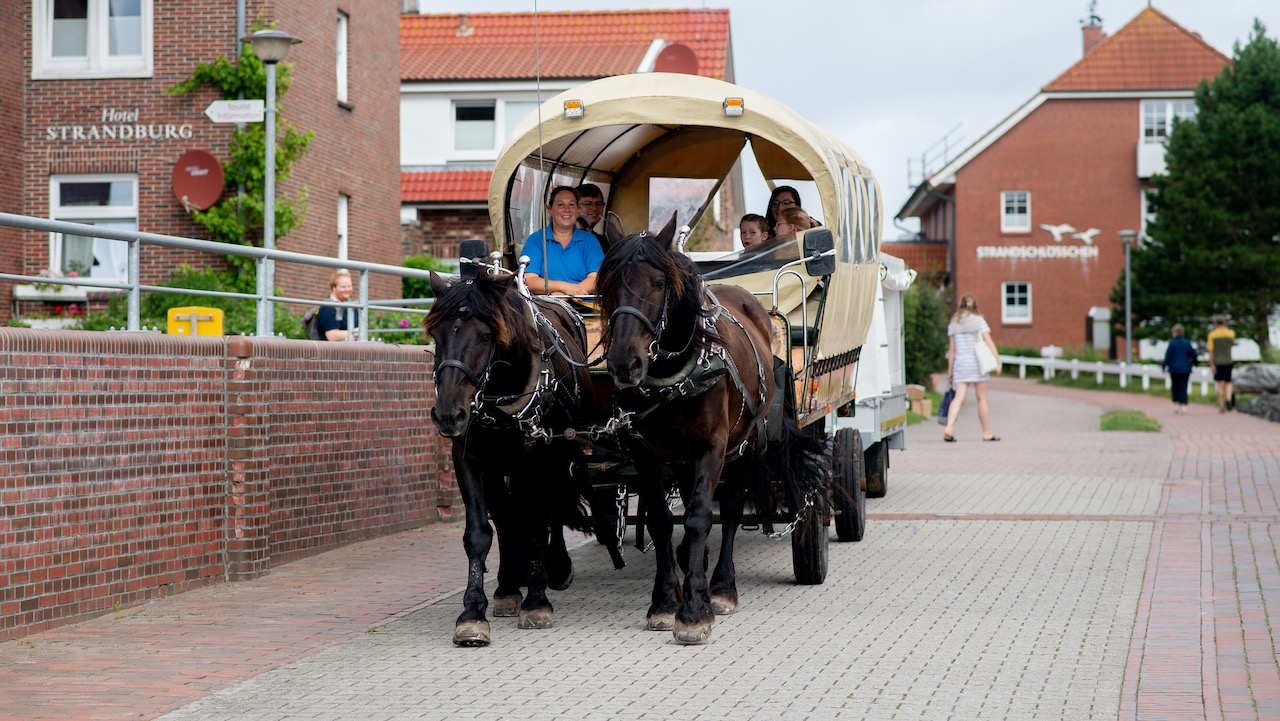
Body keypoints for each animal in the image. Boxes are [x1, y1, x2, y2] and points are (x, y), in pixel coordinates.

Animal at [424, 271, 593, 648]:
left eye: (486, 336)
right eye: (435, 335)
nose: (448, 414)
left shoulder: (542, 457)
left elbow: (535, 525)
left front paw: (537, 601)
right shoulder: (469, 458)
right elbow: (479, 533)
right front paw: (473, 613)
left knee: (550, 508)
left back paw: (555, 568)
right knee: (505, 516)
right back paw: (507, 587)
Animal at [596, 212, 829, 642]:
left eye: (658, 283)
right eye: (607, 285)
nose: (624, 363)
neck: (673, 375)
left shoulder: (713, 447)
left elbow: (702, 516)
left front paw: (694, 610)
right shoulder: (645, 454)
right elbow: (660, 521)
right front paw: (665, 602)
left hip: (745, 446)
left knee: (732, 509)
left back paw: (721, 586)